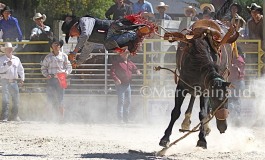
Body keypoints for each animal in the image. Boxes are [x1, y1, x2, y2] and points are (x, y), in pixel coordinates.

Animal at [156, 19, 238, 149]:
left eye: (227, 100)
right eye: (216, 100)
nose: (223, 127)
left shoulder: (205, 89)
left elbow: (203, 114)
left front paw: (202, 139)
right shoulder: (181, 86)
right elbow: (175, 111)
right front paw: (165, 138)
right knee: (193, 96)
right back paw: (186, 122)